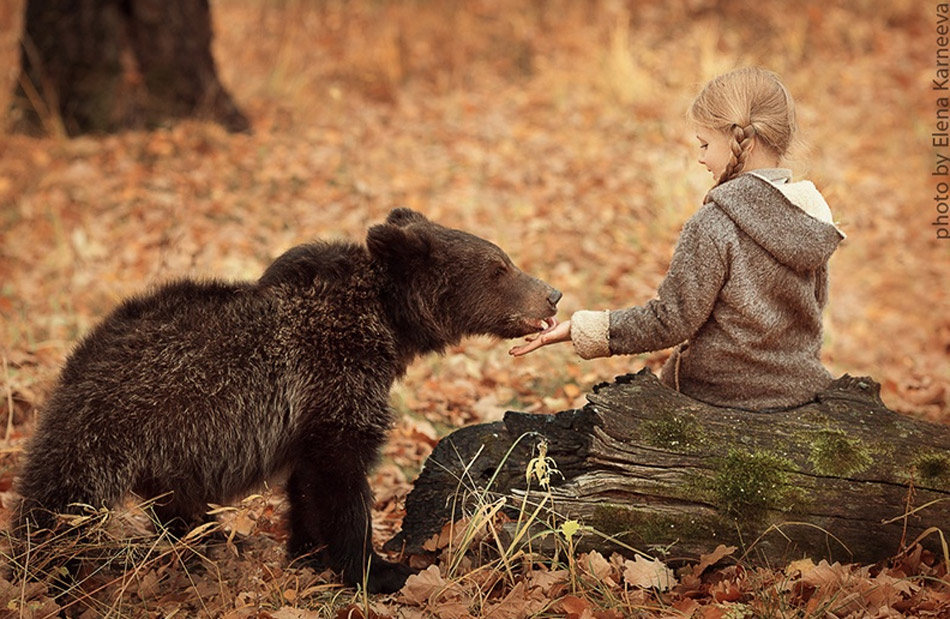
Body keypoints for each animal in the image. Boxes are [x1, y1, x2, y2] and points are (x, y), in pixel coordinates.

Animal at [14, 209, 560, 596]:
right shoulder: (333, 381)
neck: (387, 325)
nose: (551, 293)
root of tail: (78, 356)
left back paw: (211, 542)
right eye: (499, 267)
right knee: (57, 504)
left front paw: (307, 552)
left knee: (174, 504)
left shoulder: (308, 411)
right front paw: (377, 569)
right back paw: (44, 572)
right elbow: (340, 480)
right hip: (113, 424)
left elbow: (306, 484)